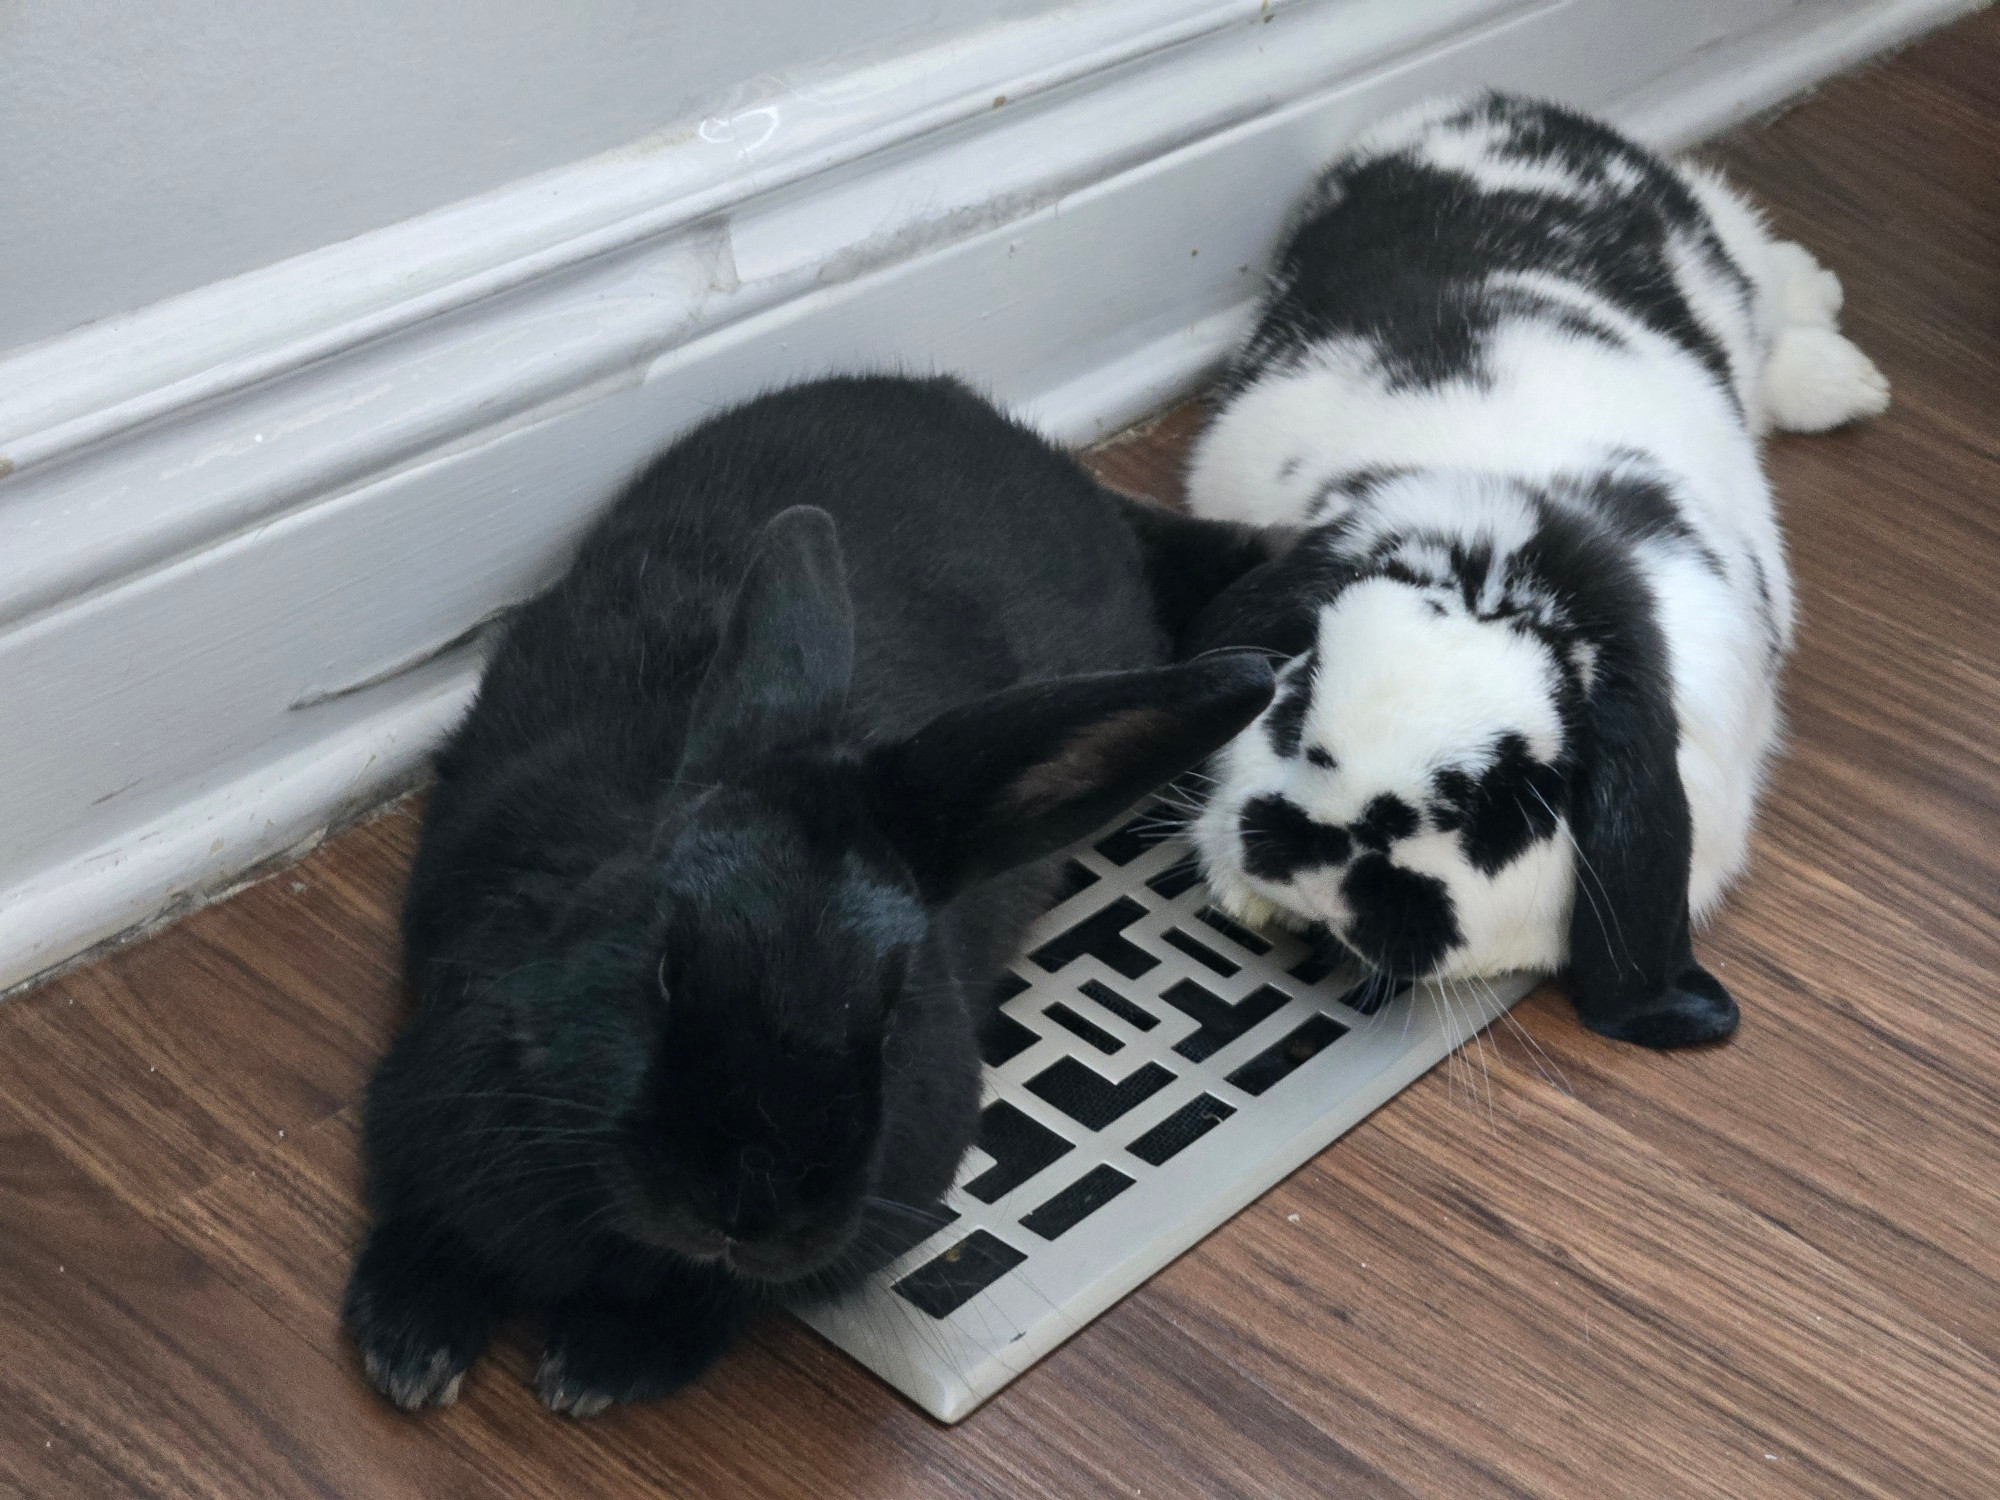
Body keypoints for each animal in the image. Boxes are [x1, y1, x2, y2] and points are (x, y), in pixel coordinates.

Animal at [1176, 94, 1880, 1048]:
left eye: (1511, 805)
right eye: (1294, 702)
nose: (1327, 847)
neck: (1533, 561)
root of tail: (1493, 103)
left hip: (1717, 254)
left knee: (1770, 288)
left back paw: (1845, 363)